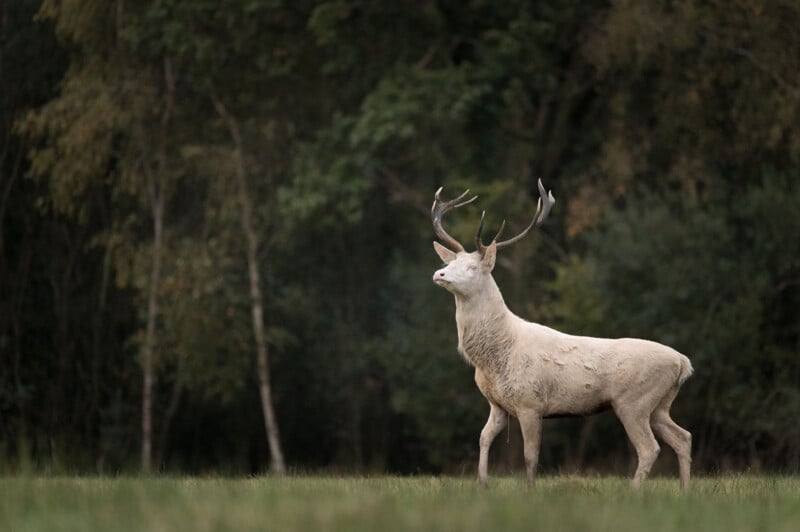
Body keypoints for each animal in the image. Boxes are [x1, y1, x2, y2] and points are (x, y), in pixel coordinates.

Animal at [431, 180, 693, 490]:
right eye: (450, 263)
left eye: (472, 267)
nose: (439, 274)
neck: (492, 358)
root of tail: (682, 363)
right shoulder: (497, 403)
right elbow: (483, 439)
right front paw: (482, 484)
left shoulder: (530, 402)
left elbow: (530, 455)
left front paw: (531, 490)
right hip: (660, 405)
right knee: (683, 437)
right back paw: (684, 491)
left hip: (634, 401)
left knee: (650, 448)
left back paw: (634, 491)